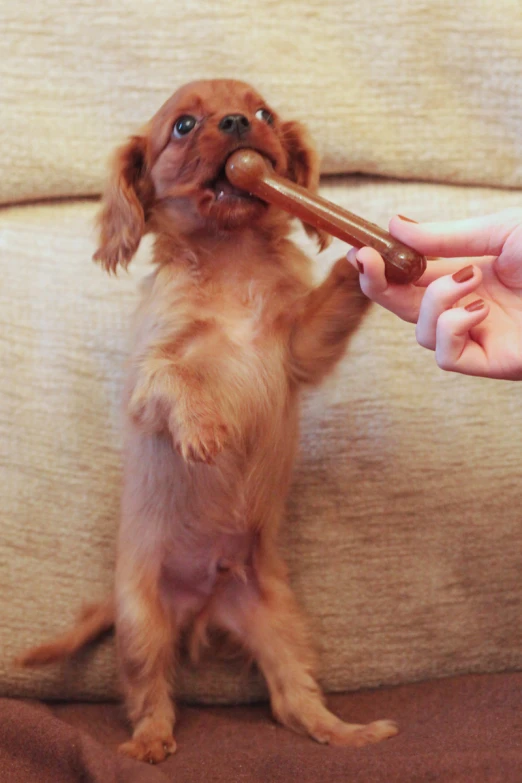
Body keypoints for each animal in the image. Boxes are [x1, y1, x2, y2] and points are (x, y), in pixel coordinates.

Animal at [18, 78, 396, 760]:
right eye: (184, 126)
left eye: (263, 112)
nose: (238, 123)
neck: (231, 261)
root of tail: (202, 602)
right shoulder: (145, 378)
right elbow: (179, 379)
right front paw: (203, 428)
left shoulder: (298, 349)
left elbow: (327, 308)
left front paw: (368, 258)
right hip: (141, 623)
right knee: (149, 692)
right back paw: (149, 743)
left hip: (277, 618)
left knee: (294, 701)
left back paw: (346, 732)